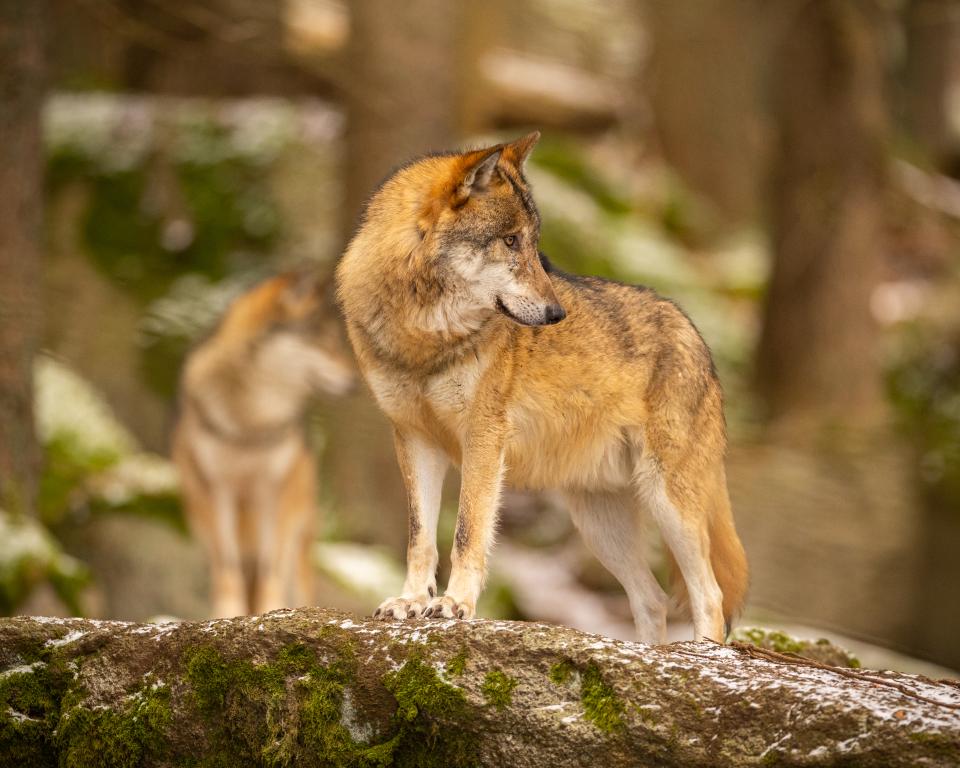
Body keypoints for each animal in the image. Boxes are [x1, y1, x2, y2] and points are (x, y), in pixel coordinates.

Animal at [172, 269, 354, 618]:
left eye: (338, 342)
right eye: (324, 342)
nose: (354, 383)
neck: (251, 422)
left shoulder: (275, 491)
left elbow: (272, 566)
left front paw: (273, 610)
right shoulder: (218, 490)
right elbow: (227, 566)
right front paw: (227, 615)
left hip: (298, 529)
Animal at [336, 132, 748, 642]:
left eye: (535, 245)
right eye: (511, 241)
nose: (556, 315)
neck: (423, 336)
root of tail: (697, 336)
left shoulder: (484, 438)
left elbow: (467, 531)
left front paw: (454, 605)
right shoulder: (414, 439)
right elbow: (419, 537)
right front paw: (411, 601)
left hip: (668, 501)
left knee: (709, 596)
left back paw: (699, 655)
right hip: (599, 523)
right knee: (651, 598)